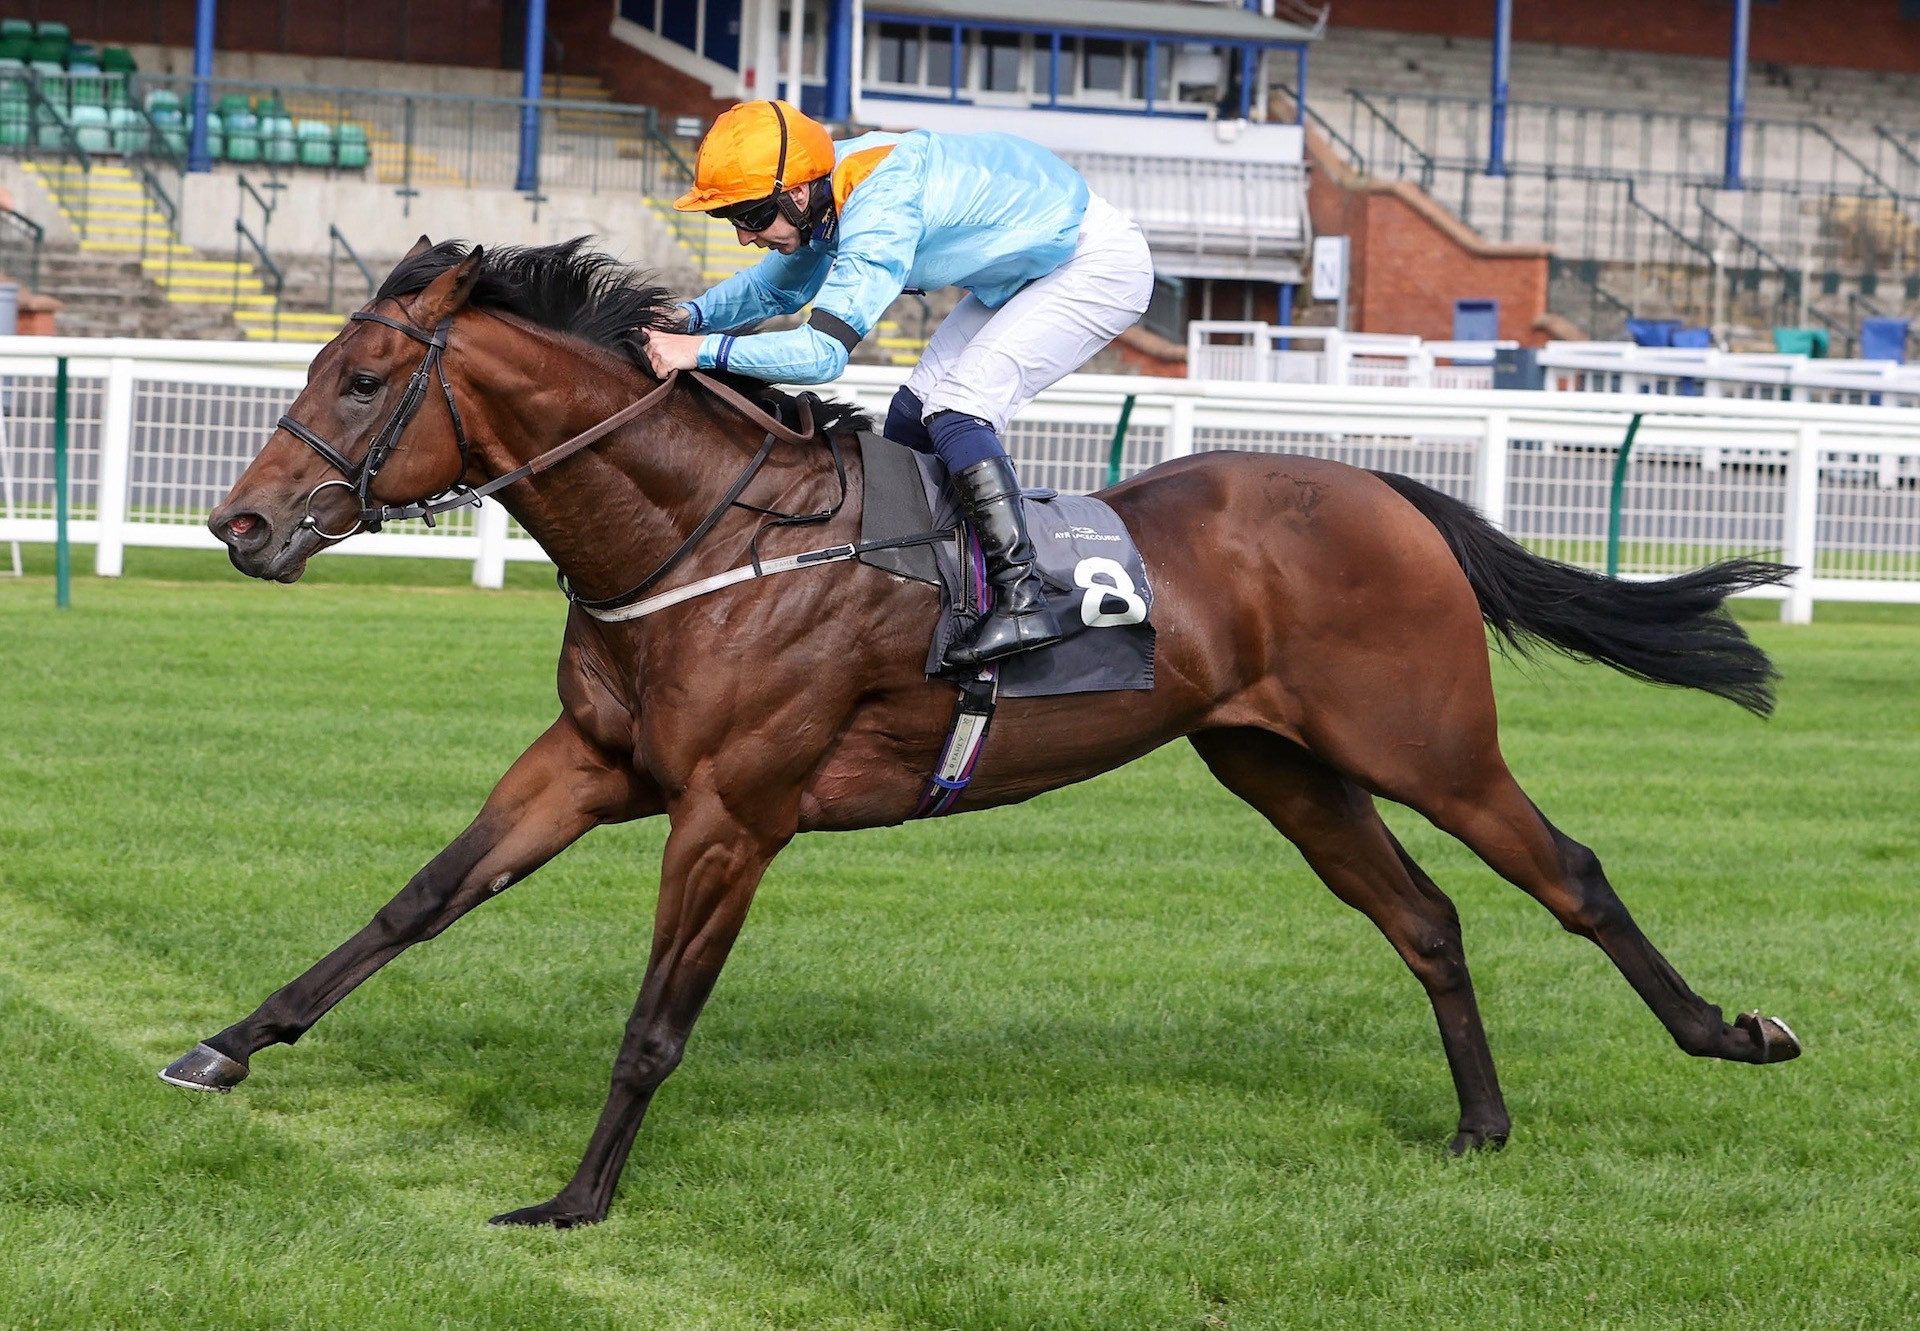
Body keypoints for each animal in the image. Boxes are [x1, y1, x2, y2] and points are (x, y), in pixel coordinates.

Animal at [168, 236, 1797, 1221]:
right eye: (311, 367)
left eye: (363, 379)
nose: (239, 523)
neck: (702, 533)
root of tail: (1389, 492)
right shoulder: (592, 762)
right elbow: (416, 900)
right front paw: (227, 1045)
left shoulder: (733, 809)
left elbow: (654, 1024)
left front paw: (576, 1199)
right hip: (1279, 762)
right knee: (1426, 917)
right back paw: (1480, 1125)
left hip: (1427, 742)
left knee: (1568, 872)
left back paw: (1732, 1030)